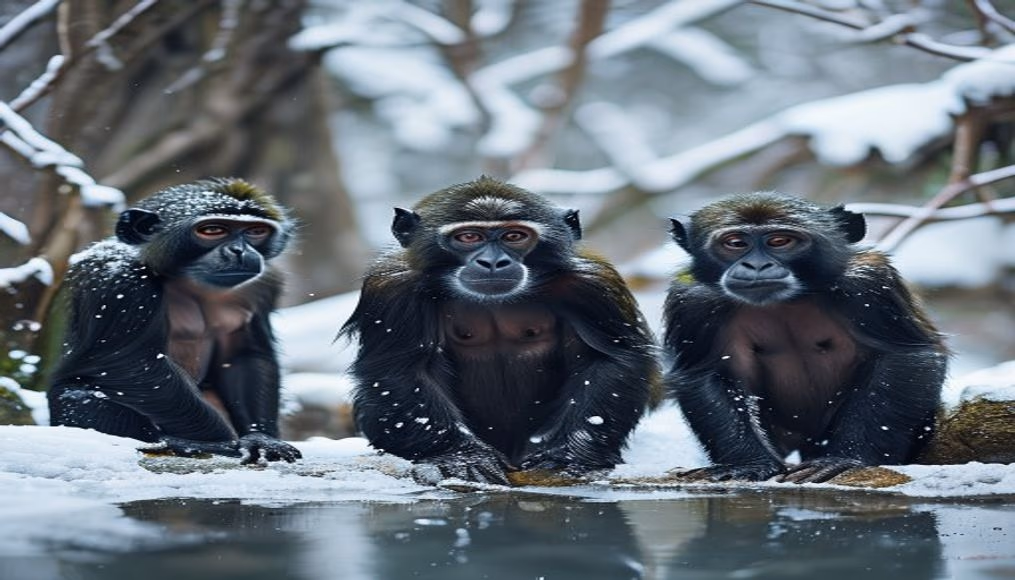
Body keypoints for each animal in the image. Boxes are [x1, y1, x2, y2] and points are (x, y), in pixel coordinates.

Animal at [47, 178, 301, 464]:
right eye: (212, 230)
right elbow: (138, 366)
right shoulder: (120, 282)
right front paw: (226, 442)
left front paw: (261, 438)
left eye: (256, 231)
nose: (239, 250)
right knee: (82, 397)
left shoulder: (262, 285)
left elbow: (243, 356)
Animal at [341, 177, 660, 485]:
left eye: (514, 236)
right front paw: (460, 457)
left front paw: (569, 456)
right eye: (468, 237)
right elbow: (401, 369)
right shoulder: (393, 287)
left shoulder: (593, 285)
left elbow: (611, 358)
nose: (493, 261)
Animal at [662, 193, 947, 484]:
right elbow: (705, 374)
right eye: (735, 243)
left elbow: (903, 356)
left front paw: (844, 459)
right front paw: (748, 463)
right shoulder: (694, 302)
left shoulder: (870, 284)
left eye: (780, 241)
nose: (757, 265)